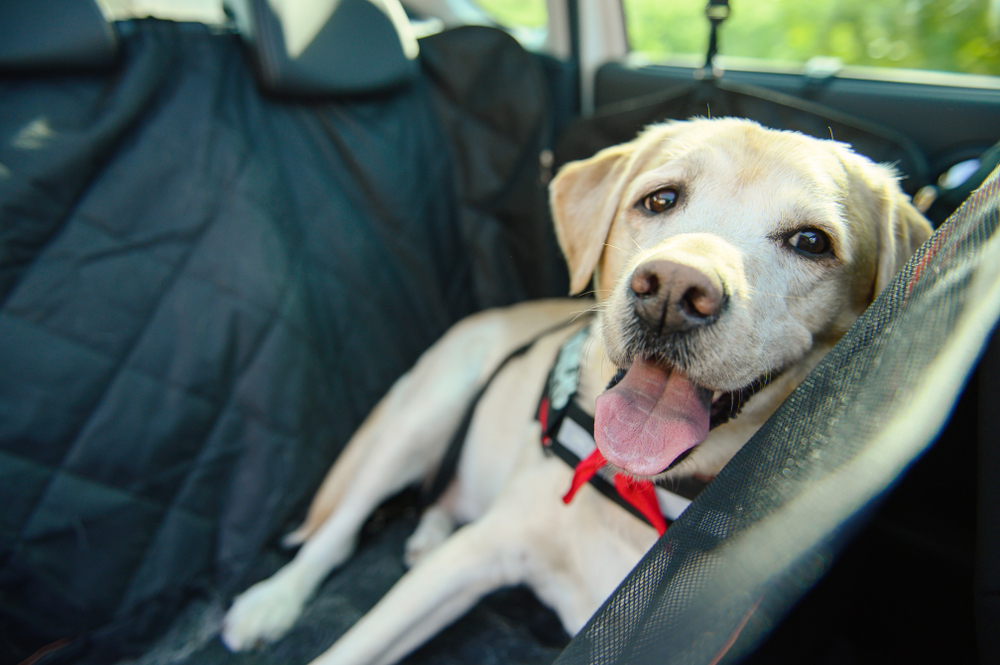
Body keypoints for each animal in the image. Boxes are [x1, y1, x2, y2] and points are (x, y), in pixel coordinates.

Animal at [223, 119, 932, 664]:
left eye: (812, 241)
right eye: (660, 200)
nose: (672, 291)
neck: (640, 488)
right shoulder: (473, 557)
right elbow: (353, 643)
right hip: (428, 408)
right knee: (338, 532)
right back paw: (272, 601)